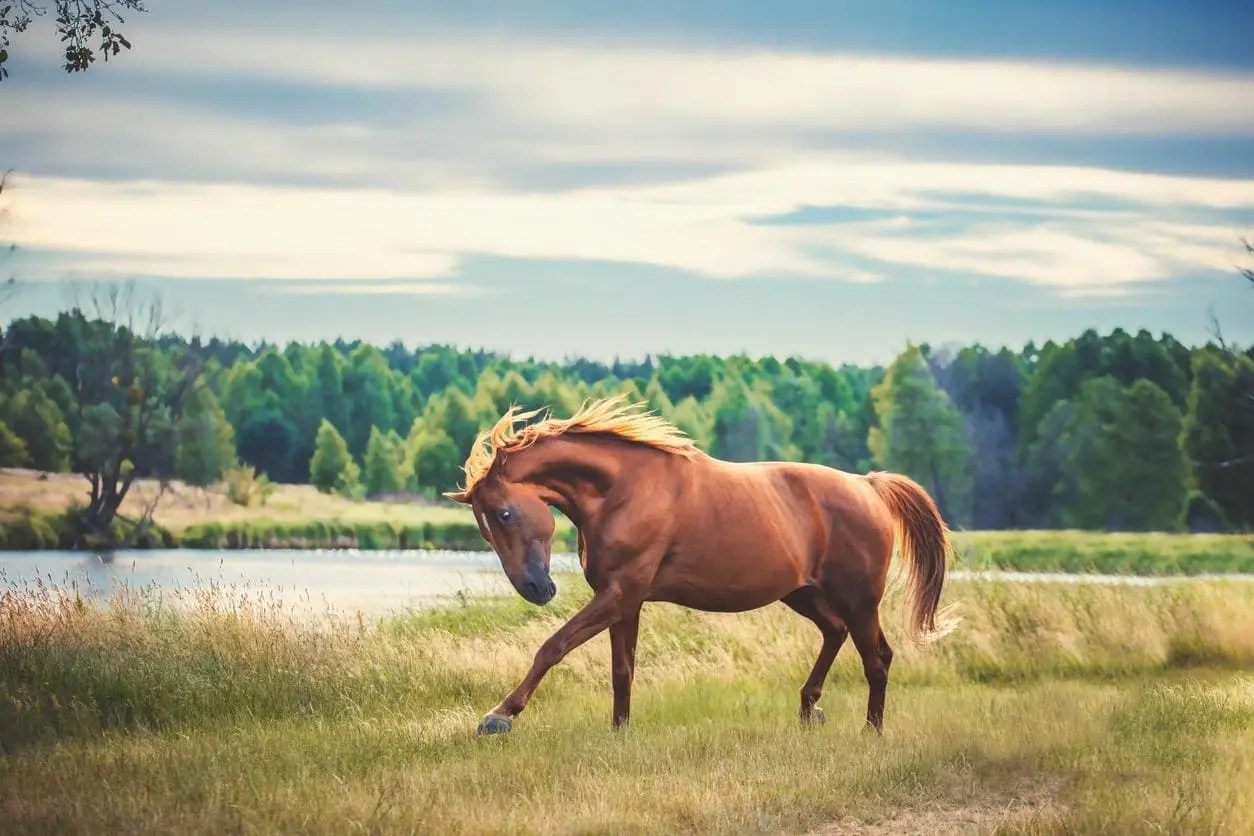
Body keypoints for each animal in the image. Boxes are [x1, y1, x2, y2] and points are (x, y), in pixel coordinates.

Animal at [445, 396, 956, 736]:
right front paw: (620, 733)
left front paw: (498, 717)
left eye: (504, 514)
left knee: (877, 658)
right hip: (802, 593)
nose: (535, 588)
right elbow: (622, 671)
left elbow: (552, 647)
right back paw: (809, 709)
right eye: (485, 529)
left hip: (860, 599)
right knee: (835, 633)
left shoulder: (619, 595)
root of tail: (868, 486)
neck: (623, 490)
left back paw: (871, 732)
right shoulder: (625, 602)